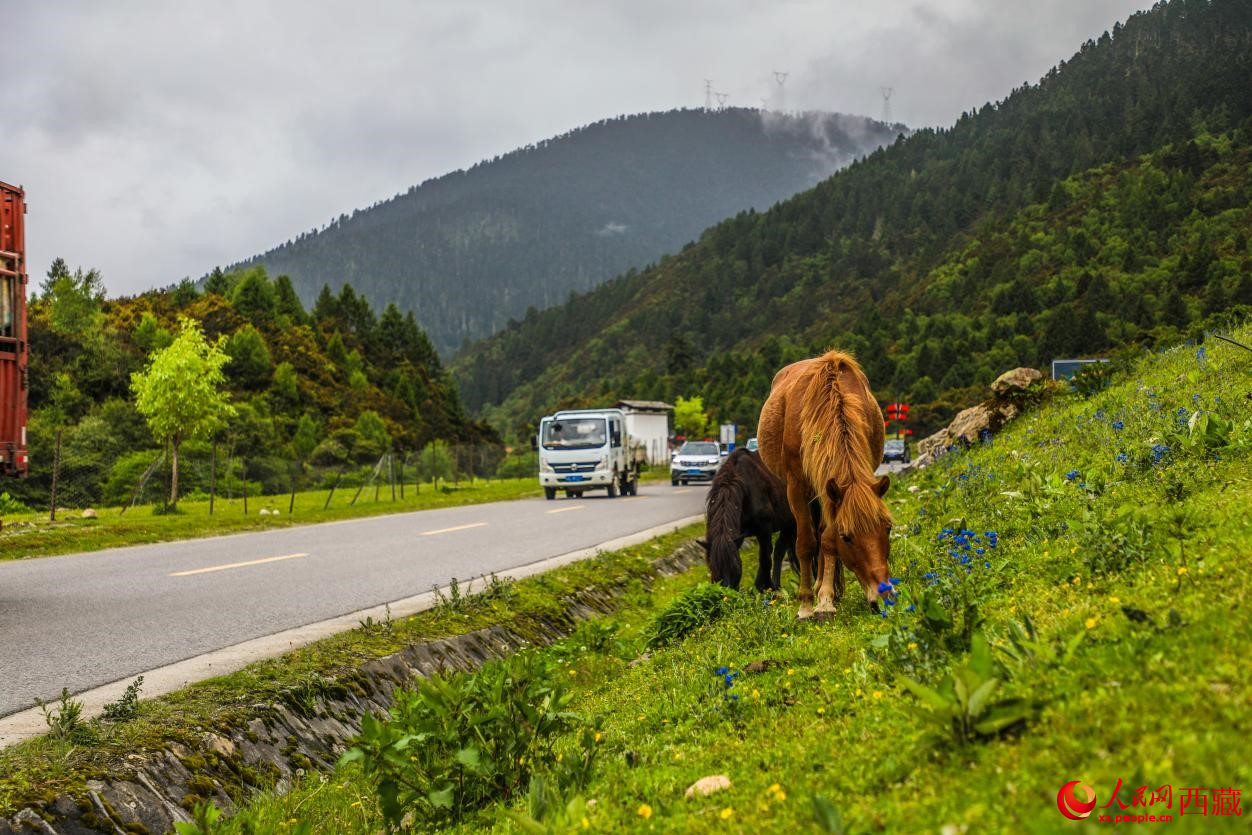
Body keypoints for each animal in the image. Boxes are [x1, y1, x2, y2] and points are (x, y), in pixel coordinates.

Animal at [751, 350, 891, 618]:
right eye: (847, 537)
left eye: (888, 528)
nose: (884, 596)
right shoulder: (796, 487)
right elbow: (806, 542)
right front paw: (806, 605)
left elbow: (827, 540)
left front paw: (826, 599)